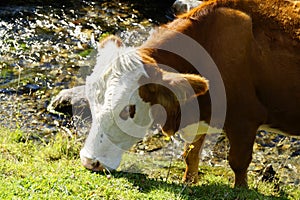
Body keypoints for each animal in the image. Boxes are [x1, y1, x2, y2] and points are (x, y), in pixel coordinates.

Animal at [50, 0, 298, 188]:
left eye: (127, 111)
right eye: (92, 103)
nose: (89, 161)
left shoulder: (244, 120)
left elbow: (238, 163)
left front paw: (241, 189)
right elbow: (191, 155)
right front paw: (189, 182)